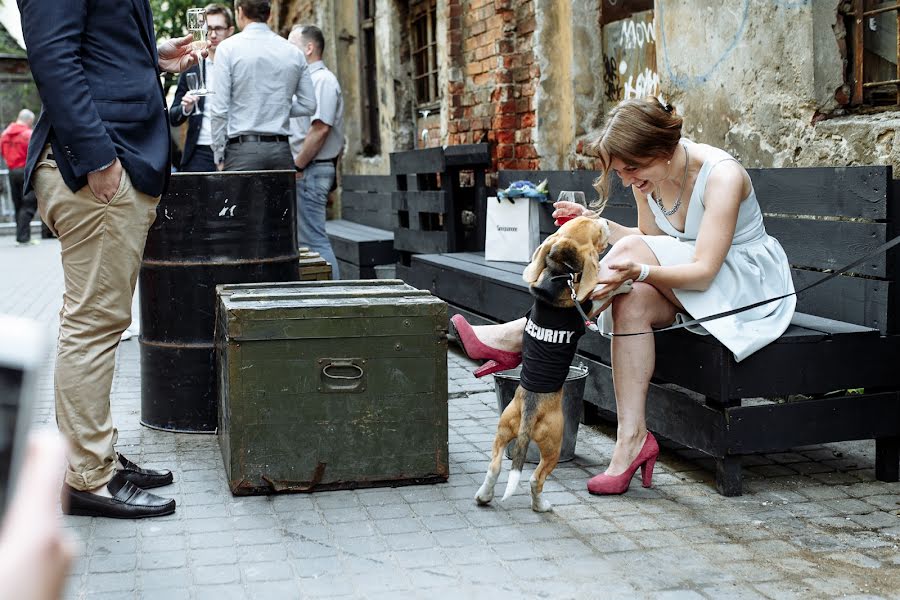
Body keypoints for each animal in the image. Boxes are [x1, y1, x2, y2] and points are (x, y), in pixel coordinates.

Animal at [474, 216, 628, 510]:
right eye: (594, 226)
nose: (604, 219)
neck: (559, 275)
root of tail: (528, 413)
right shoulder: (589, 307)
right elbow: (604, 293)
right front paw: (625, 283)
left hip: (502, 430)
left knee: (494, 467)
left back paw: (484, 496)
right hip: (553, 445)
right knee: (536, 479)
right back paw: (541, 505)